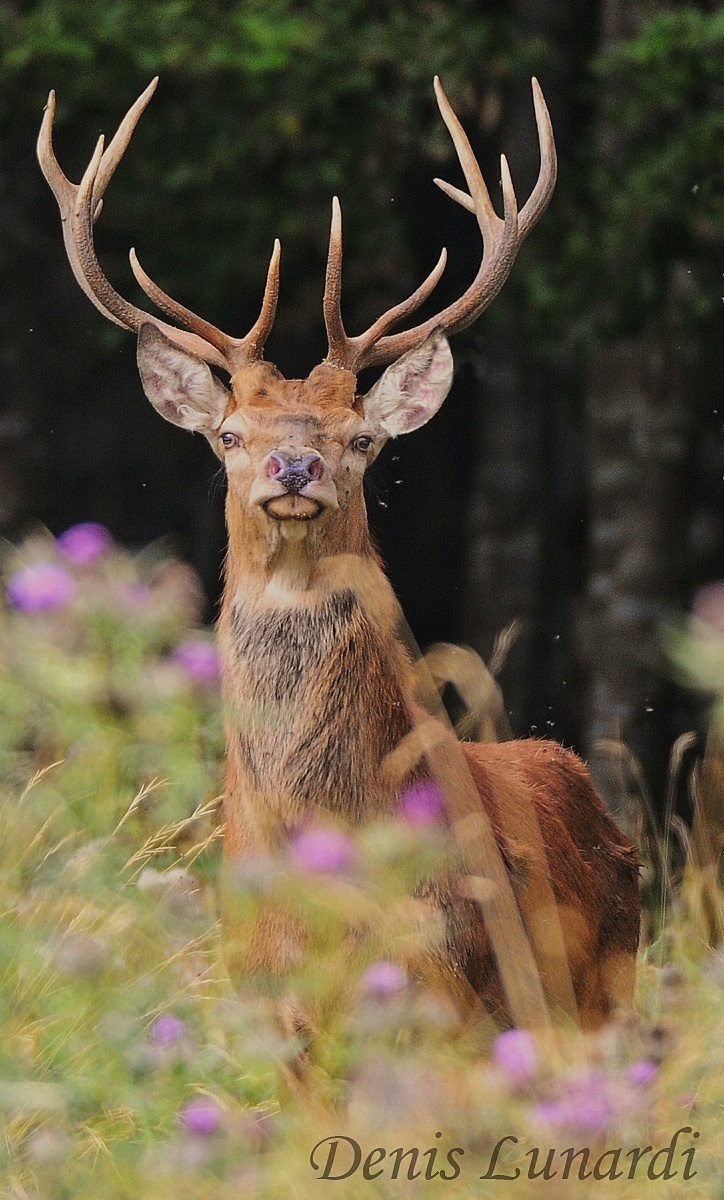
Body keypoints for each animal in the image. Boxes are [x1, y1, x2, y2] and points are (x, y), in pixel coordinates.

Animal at [38, 77, 640, 1054]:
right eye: (229, 434)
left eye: (361, 438)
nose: (294, 468)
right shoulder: (265, 1006)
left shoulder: (445, 996)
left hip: (600, 997)